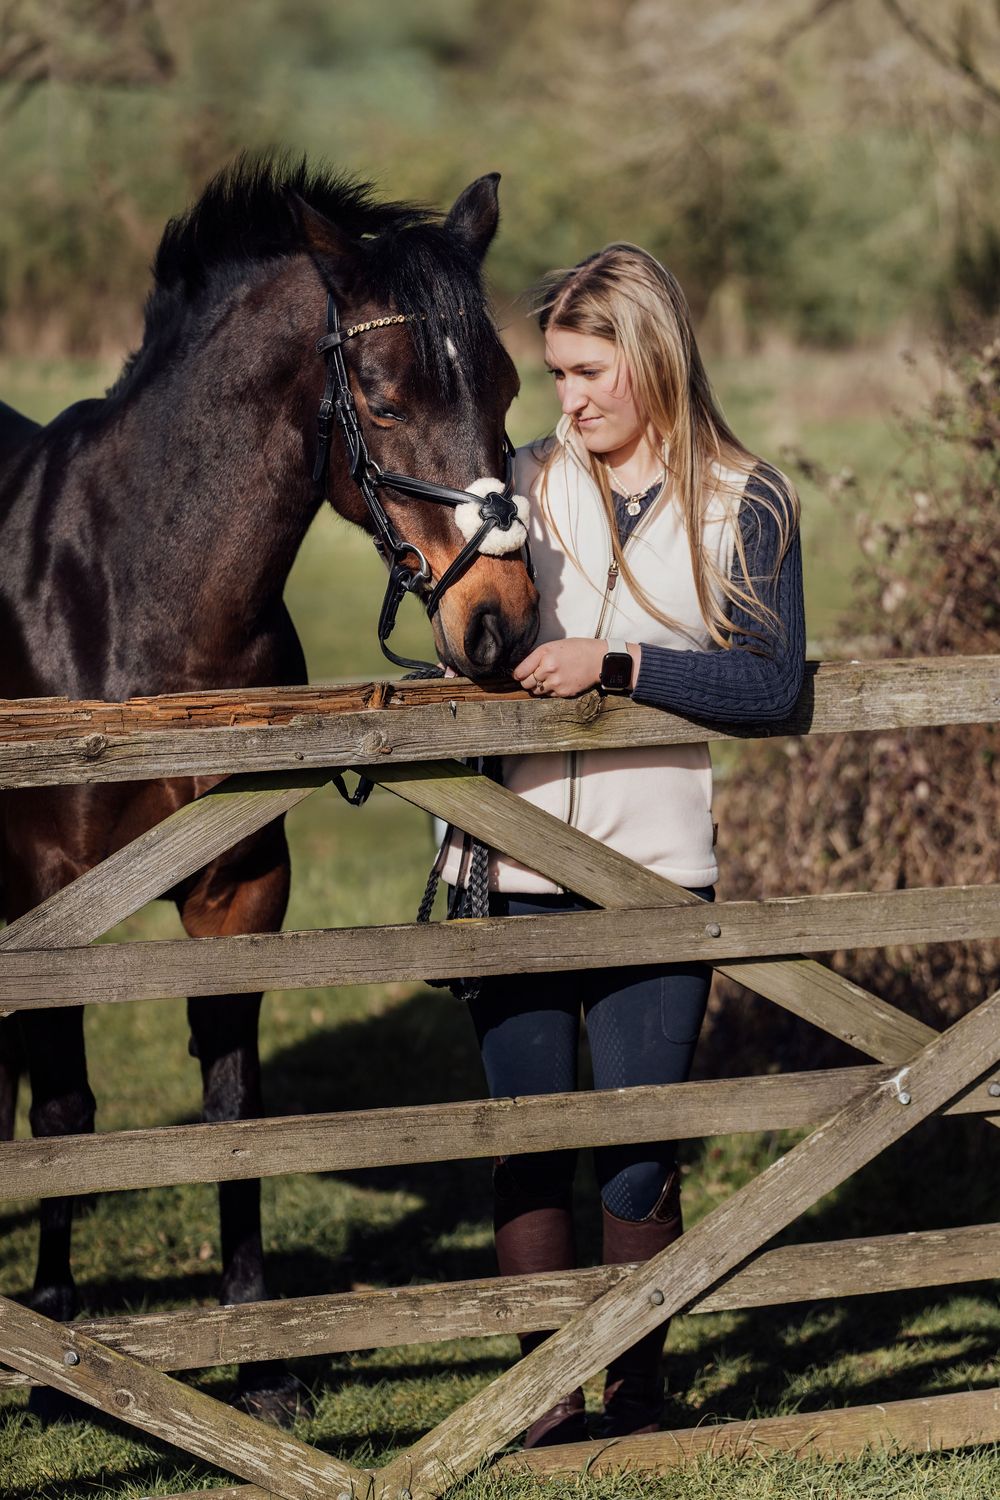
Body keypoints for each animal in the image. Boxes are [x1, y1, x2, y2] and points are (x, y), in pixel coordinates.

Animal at [0, 156, 539, 1420]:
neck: (134, 606)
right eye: (382, 402)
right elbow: (65, 1112)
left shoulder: (240, 889)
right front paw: (56, 1350)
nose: (499, 623)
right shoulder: (49, 898)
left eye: (505, 386)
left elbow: (235, 1113)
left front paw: (259, 1361)